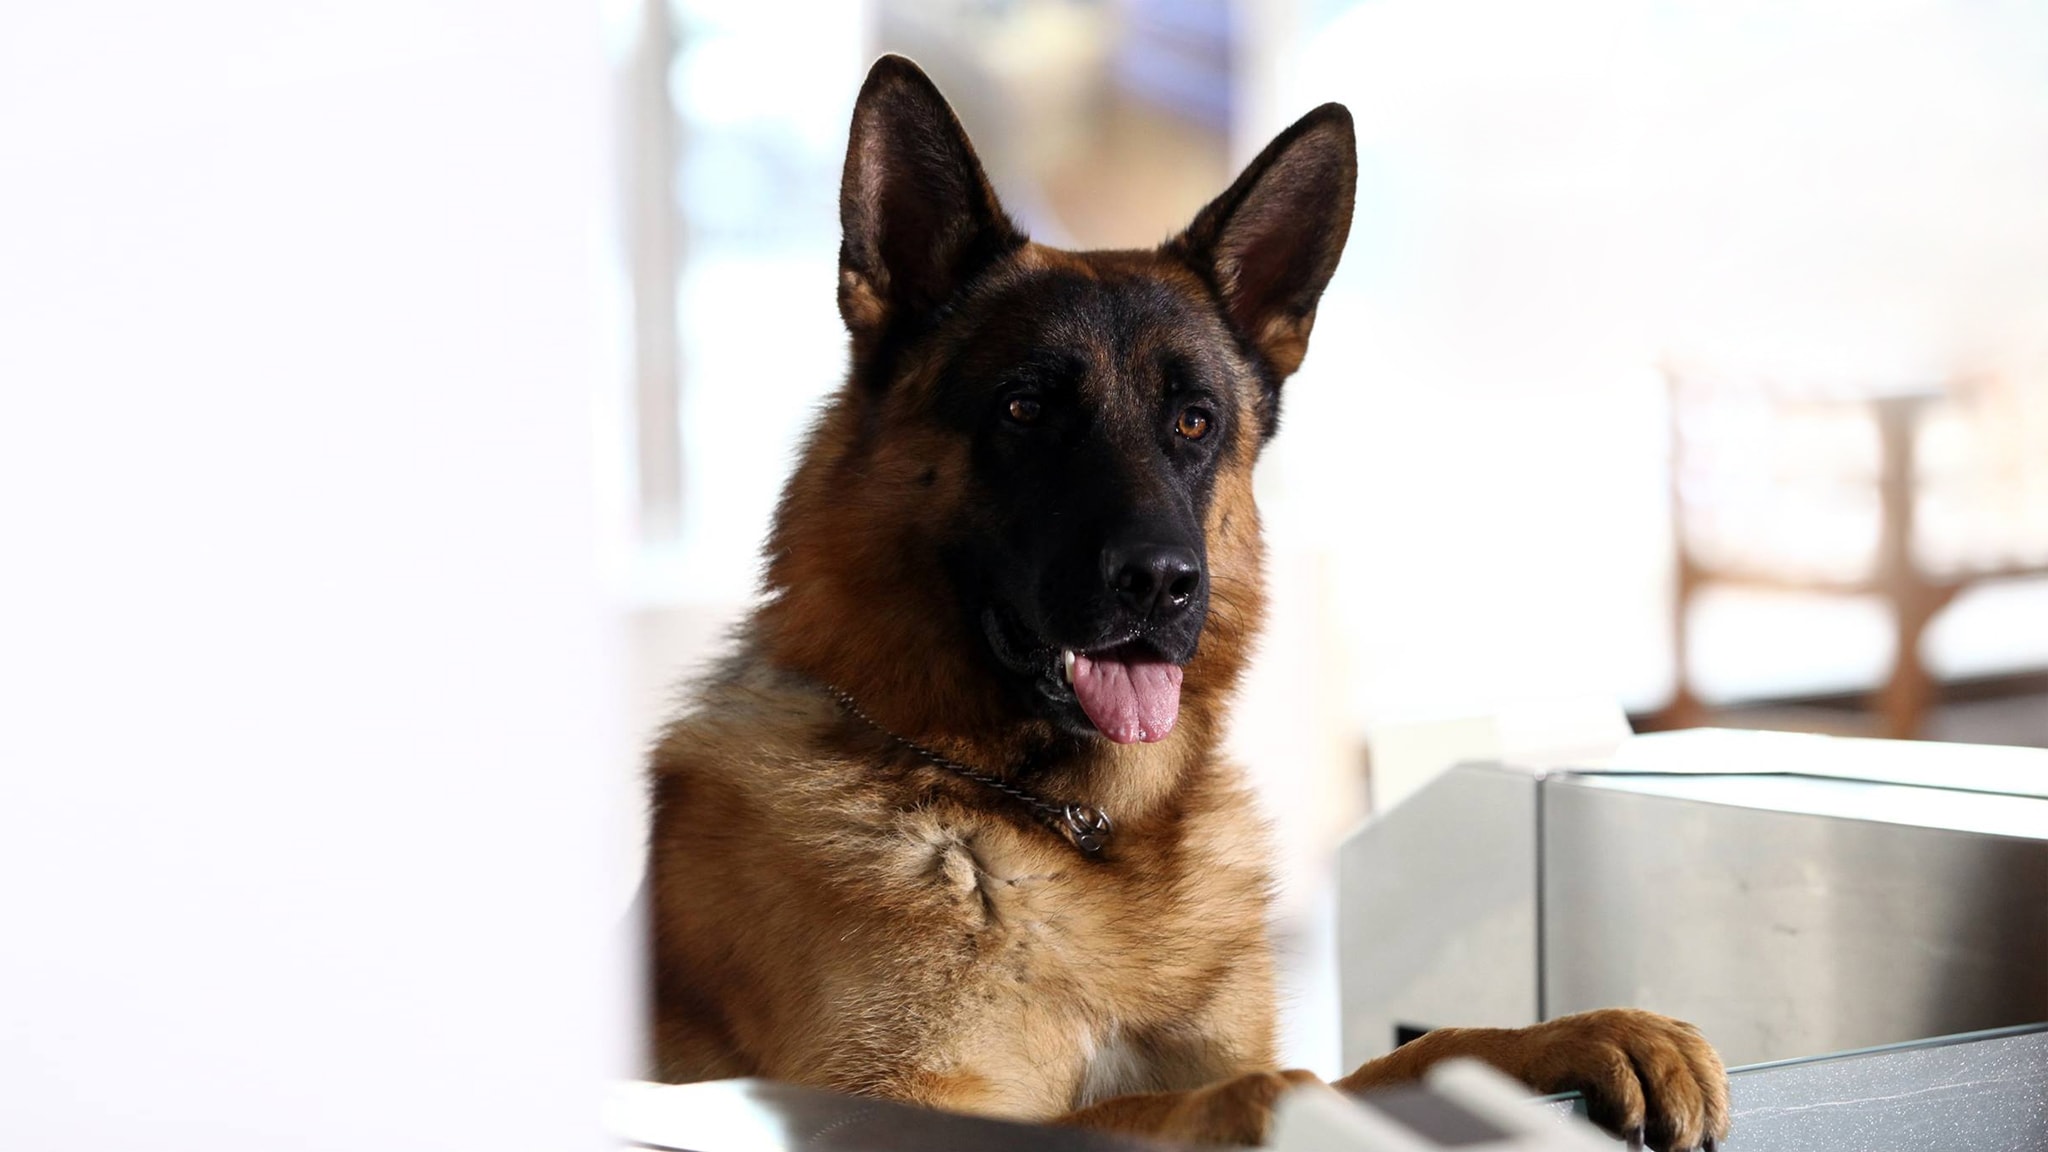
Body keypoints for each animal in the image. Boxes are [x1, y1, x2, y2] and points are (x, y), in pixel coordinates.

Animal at [647, 54, 1730, 1150]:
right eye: (1023, 408)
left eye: (1195, 422)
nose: (1164, 584)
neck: (1071, 824)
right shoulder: (897, 1104)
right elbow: (1190, 1094)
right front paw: (1270, 1105)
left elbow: (1411, 1055)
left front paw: (1572, 1034)